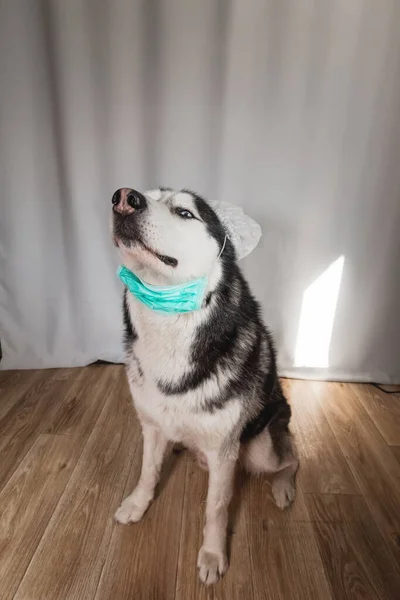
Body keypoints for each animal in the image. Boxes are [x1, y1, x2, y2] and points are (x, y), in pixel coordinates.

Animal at [111, 189, 296, 584]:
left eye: (184, 213)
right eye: (146, 195)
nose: (124, 198)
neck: (169, 325)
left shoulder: (225, 449)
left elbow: (216, 507)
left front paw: (212, 555)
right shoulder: (151, 427)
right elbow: (147, 472)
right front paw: (137, 504)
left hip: (261, 448)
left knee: (291, 458)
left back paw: (283, 486)